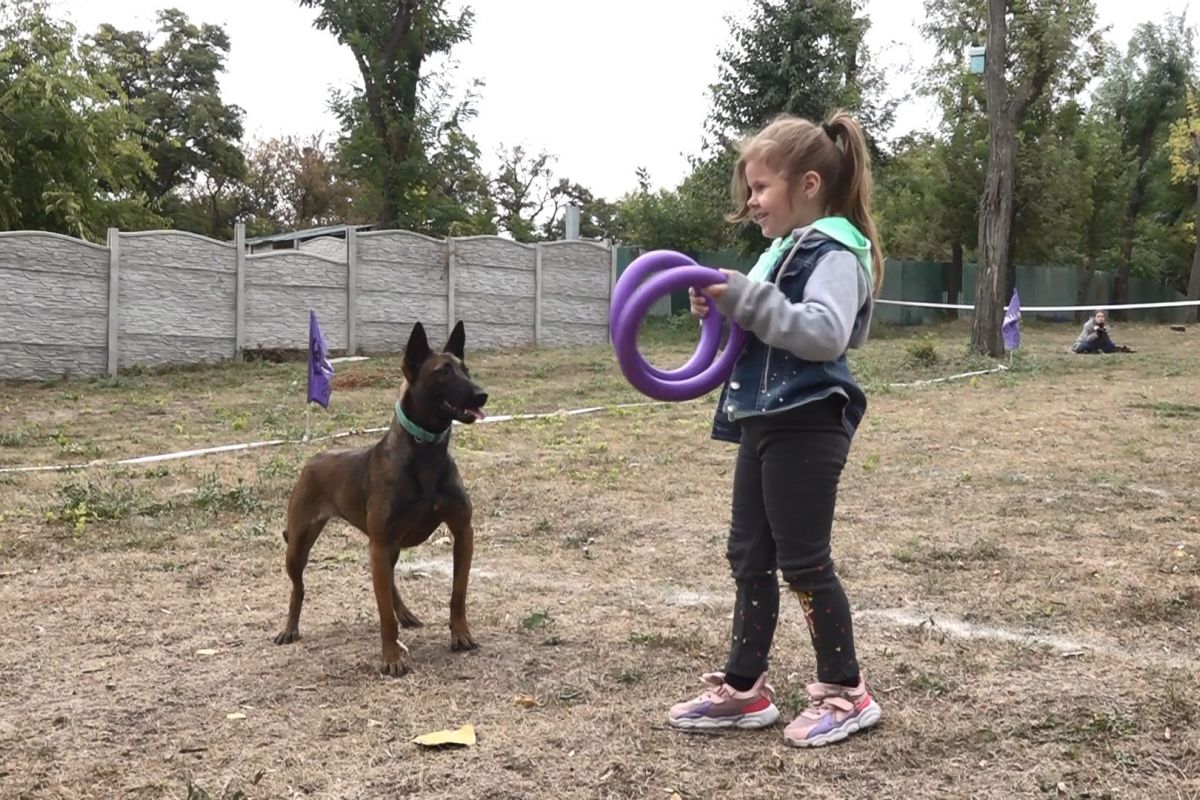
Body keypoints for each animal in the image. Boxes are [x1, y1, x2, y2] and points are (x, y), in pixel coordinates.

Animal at [274, 319, 487, 676]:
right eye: (443, 372)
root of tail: (313, 460)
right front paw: (391, 657)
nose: (482, 394)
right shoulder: (382, 541)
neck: (425, 451)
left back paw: (405, 612)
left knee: (387, 581)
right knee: (298, 589)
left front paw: (461, 634)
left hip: (388, 545)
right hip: (299, 546)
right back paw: (289, 628)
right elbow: (383, 612)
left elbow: (458, 593)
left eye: (465, 369)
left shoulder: (462, 532)